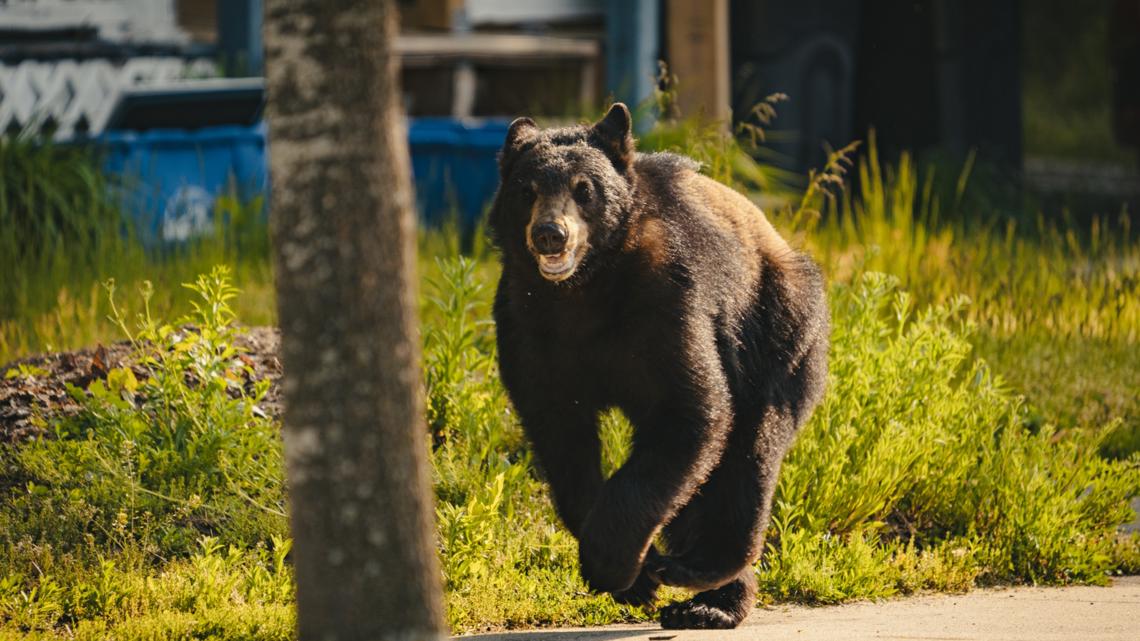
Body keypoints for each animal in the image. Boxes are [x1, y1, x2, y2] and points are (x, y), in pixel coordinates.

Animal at [489, 103, 829, 629]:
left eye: (584, 189)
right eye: (527, 190)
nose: (549, 234)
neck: (582, 293)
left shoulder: (667, 302)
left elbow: (689, 409)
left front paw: (617, 563)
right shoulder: (528, 328)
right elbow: (560, 435)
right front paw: (637, 577)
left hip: (778, 333)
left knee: (748, 457)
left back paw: (705, 580)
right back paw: (701, 595)